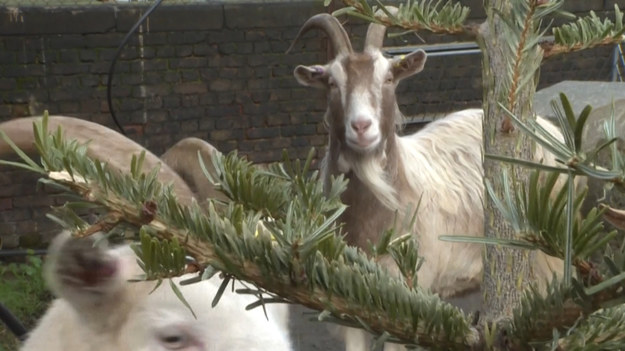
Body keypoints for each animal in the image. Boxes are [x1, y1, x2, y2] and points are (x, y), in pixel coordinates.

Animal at [292, 12, 560, 350]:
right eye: (331, 82)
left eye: (388, 78)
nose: (362, 127)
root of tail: (548, 130)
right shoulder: (345, 301)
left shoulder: (403, 296)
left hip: (547, 259)